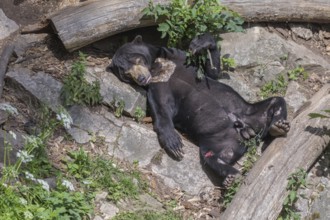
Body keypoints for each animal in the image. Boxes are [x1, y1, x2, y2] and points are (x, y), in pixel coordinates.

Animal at [107, 33, 288, 184]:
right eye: (126, 74)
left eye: (136, 60)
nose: (141, 78)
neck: (157, 68)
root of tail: (246, 132)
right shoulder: (157, 87)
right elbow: (161, 109)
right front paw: (174, 144)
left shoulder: (177, 58)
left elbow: (212, 71)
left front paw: (199, 44)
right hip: (218, 140)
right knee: (214, 156)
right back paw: (232, 175)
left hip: (250, 112)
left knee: (277, 100)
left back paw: (279, 126)